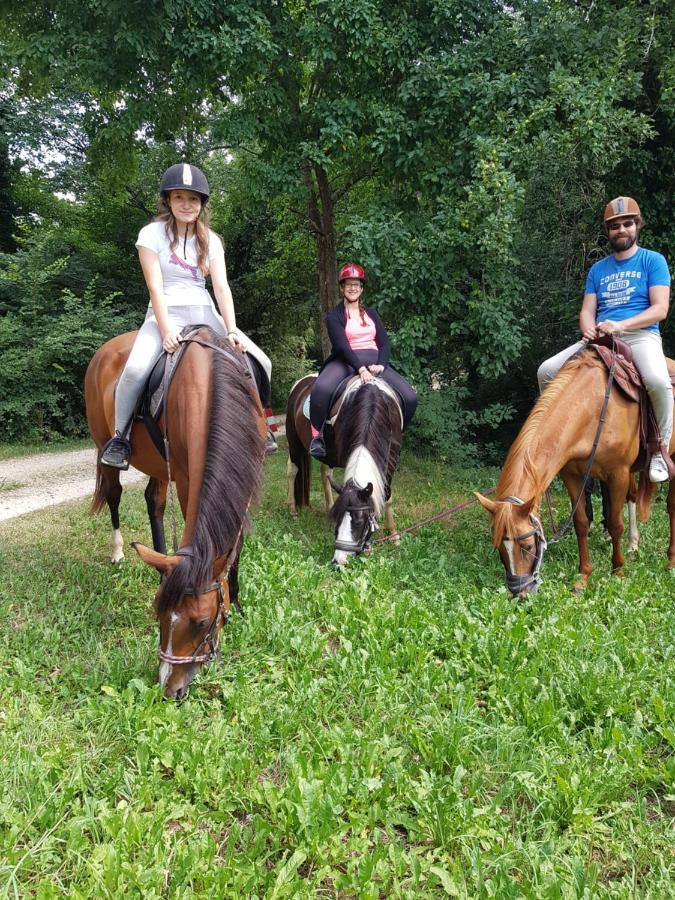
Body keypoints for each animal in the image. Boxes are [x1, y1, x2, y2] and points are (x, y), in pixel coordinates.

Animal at [84, 326, 264, 700]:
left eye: (200, 622)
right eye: (160, 619)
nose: (169, 689)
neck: (207, 381)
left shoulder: (244, 476)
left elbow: (234, 548)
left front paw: (238, 603)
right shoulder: (185, 477)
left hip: (157, 462)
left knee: (154, 502)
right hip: (104, 445)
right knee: (115, 495)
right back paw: (119, 551)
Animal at [286, 376, 402, 568]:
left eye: (360, 521)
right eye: (339, 520)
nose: (339, 561)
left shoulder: (391, 461)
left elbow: (388, 498)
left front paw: (393, 535)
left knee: (325, 473)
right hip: (294, 442)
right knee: (292, 470)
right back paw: (293, 511)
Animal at [476, 352, 675, 596]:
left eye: (528, 546)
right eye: (500, 549)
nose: (520, 592)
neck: (593, 408)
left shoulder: (617, 474)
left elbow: (615, 523)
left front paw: (618, 571)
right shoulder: (573, 476)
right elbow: (581, 522)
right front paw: (583, 577)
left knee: (670, 506)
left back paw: (670, 559)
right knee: (634, 496)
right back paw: (633, 545)